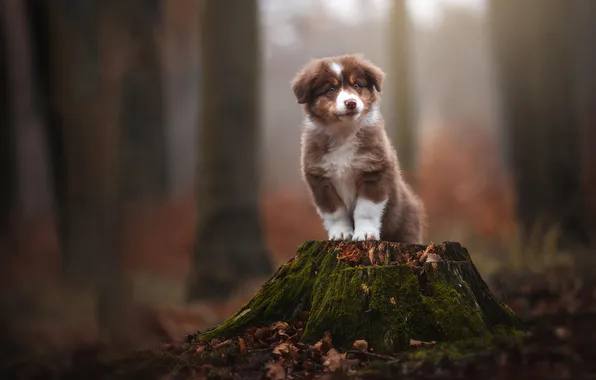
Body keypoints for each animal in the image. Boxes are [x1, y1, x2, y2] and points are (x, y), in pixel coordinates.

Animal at [292, 53, 426, 243]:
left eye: (356, 85)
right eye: (330, 89)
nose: (351, 103)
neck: (344, 133)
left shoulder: (374, 171)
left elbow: (365, 210)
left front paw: (364, 234)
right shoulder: (319, 179)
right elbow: (335, 212)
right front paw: (340, 234)